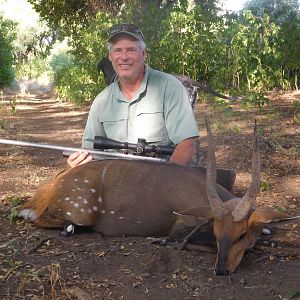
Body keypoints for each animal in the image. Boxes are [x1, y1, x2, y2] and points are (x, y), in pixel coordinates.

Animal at [19, 118, 300, 276]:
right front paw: (162, 241)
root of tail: (46, 189)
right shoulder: (182, 226)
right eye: (217, 231)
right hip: (81, 209)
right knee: (39, 218)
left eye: (241, 234)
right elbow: (188, 241)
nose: (221, 270)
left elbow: (268, 232)